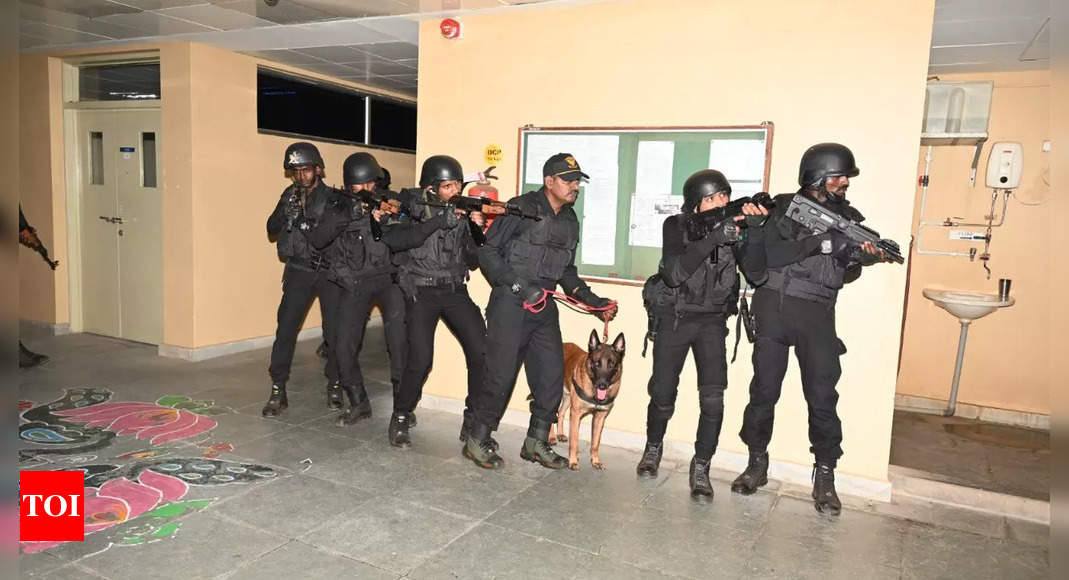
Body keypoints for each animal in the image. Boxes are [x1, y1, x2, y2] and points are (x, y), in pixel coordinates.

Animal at [551, 328, 624, 469]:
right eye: (597, 363)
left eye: (611, 364)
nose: (602, 385)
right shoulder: (576, 415)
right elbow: (574, 441)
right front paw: (573, 461)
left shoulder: (600, 417)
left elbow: (595, 443)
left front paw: (595, 461)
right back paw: (551, 437)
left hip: (567, 397)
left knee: (560, 412)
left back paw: (560, 434)